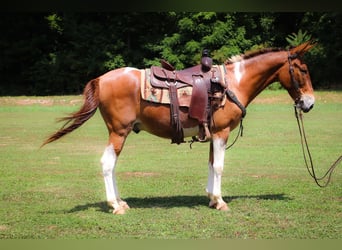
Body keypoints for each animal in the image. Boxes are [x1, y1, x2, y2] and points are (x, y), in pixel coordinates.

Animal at [42, 41, 316, 215]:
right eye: (303, 70)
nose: (309, 103)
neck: (233, 83)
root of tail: (101, 79)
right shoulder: (222, 132)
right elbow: (219, 166)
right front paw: (220, 201)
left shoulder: (213, 134)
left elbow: (211, 164)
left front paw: (211, 199)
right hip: (119, 132)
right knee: (107, 164)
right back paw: (115, 205)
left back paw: (120, 201)